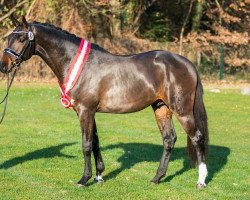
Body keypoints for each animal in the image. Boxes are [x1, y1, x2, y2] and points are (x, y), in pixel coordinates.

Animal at [0, 16, 208, 188]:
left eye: (21, 39)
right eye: (9, 38)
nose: (4, 66)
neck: (79, 65)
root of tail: (188, 63)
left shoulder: (85, 111)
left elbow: (86, 145)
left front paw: (84, 179)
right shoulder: (88, 112)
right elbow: (95, 142)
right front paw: (99, 176)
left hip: (182, 111)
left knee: (197, 138)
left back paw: (201, 180)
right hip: (161, 108)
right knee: (169, 139)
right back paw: (157, 178)